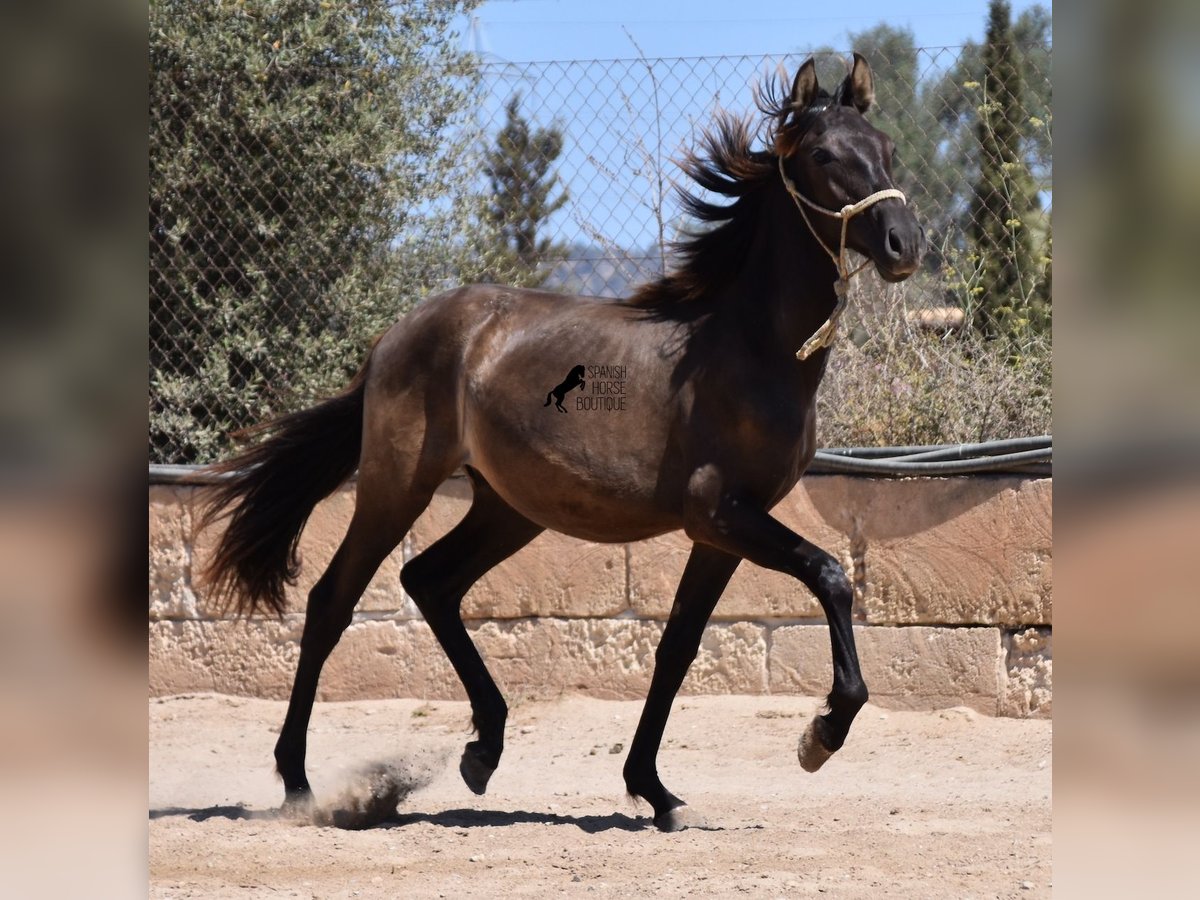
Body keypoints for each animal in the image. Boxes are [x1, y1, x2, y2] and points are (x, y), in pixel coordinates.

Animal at [199, 56, 926, 830]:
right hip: (396, 485)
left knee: (429, 580)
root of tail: (396, 334)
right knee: (333, 601)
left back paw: (483, 750)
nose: (905, 244)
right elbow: (830, 574)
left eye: (884, 147)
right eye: (824, 156)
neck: (747, 348)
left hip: (508, 508)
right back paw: (299, 784)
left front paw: (655, 790)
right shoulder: (719, 512)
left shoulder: (723, 529)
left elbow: (677, 645)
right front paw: (821, 734)